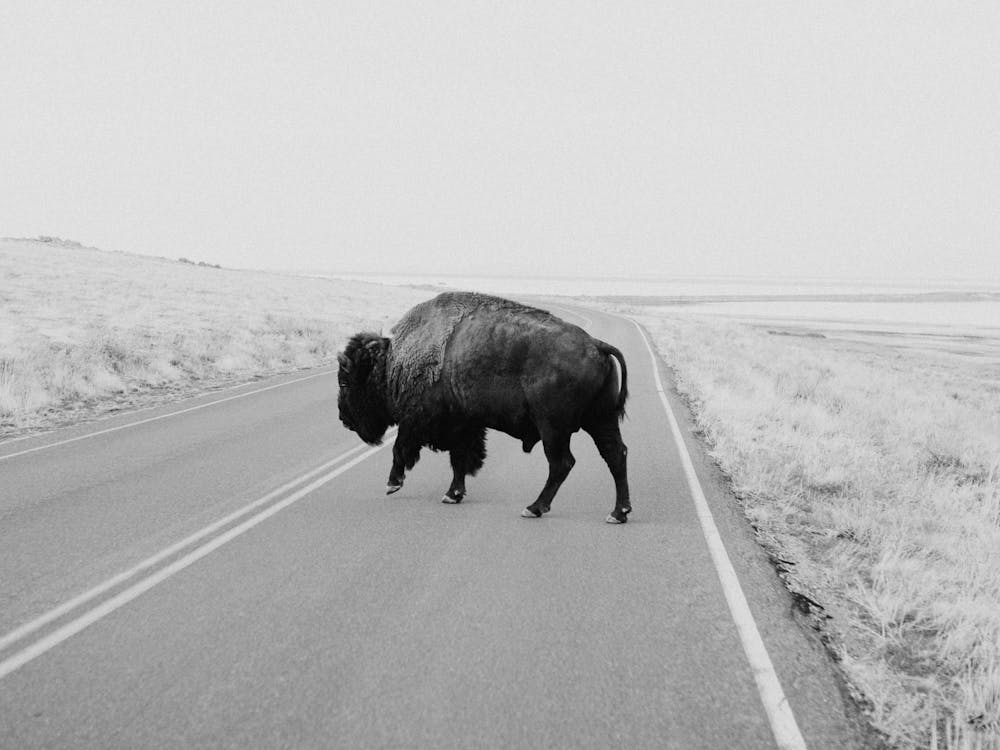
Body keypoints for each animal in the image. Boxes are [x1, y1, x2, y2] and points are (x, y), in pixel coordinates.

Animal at [336, 292, 631, 523]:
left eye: (345, 381)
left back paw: (534, 508)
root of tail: (597, 345)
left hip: (554, 428)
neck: (392, 362)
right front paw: (452, 495)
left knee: (562, 463)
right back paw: (618, 513)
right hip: (601, 420)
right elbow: (459, 459)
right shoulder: (463, 425)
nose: (342, 417)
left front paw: (392, 485)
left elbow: (400, 450)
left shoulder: (416, 421)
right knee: (615, 455)